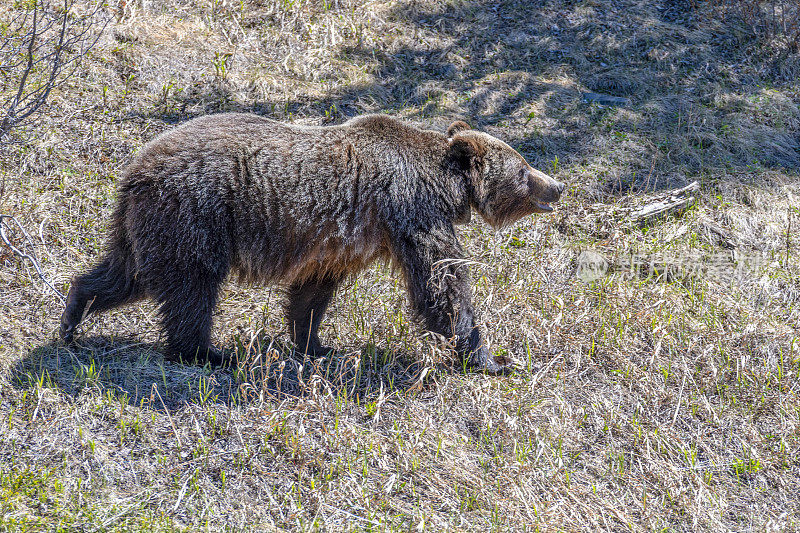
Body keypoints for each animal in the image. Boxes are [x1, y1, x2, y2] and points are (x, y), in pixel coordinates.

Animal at [61, 115, 564, 374]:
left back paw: (73, 314)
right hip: (195, 215)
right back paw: (206, 352)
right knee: (190, 288)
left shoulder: (338, 246)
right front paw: (488, 355)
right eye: (524, 168)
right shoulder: (411, 211)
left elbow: (312, 293)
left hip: (147, 225)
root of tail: (134, 171)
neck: (445, 186)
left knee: (125, 274)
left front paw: (315, 344)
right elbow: (441, 285)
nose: (557, 186)